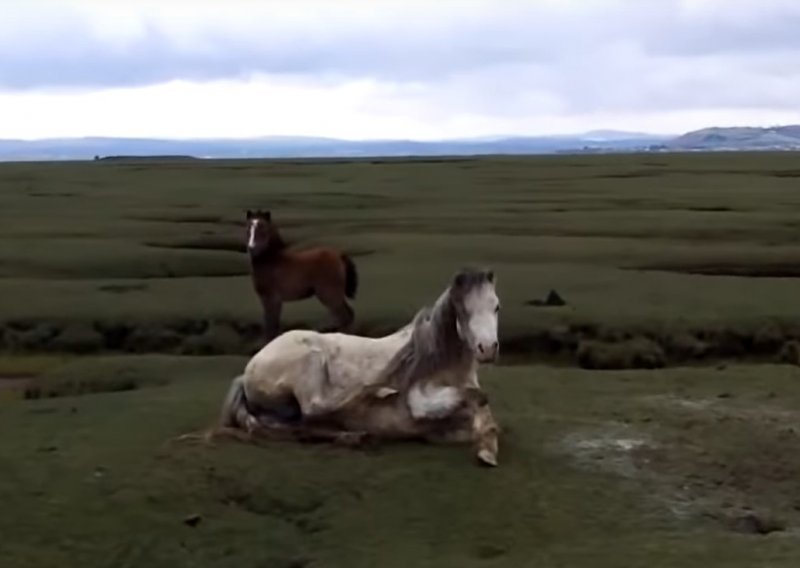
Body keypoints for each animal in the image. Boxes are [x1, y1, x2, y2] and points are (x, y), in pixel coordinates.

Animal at [211, 266, 500, 466]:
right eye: (464, 309)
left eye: (496, 307)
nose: (488, 348)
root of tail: (248, 370)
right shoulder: (420, 399)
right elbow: (475, 398)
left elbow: (487, 421)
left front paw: (487, 452)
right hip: (310, 359)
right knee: (315, 405)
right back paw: (374, 392)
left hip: (281, 412)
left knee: (295, 425)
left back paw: (355, 435)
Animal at [242, 209, 358, 342]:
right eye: (247, 229)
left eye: (263, 229)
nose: (252, 248)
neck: (272, 260)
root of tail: (339, 255)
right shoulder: (269, 299)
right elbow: (272, 323)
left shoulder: (271, 298)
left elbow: (271, 324)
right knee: (348, 315)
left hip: (329, 294)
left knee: (344, 316)